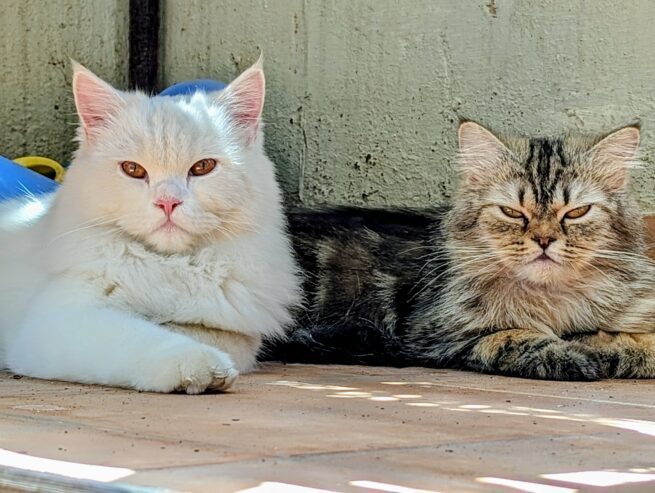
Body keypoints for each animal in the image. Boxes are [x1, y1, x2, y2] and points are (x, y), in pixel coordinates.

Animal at [0, 59, 302, 394]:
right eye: (133, 169)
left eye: (202, 167)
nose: (167, 202)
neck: (169, 266)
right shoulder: (60, 320)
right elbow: (144, 337)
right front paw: (201, 367)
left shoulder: (238, 332)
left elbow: (209, 334)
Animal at [264, 121, 655, 378]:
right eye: (512, 212)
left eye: (576, 212)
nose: (544, 240)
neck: (552, 301)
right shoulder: (436, 333)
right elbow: (513, 337)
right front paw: (573, 356)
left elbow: (635, 341)